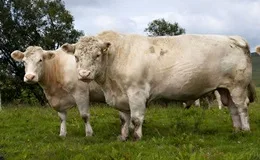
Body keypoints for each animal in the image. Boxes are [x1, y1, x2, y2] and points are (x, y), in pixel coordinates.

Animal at [62, 31, 255, 140]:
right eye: (76, 57)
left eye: (97, 55)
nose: (84, 74)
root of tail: (234, 38)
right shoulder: (121, 96)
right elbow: (124, 119)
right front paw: (123, 136)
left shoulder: (136, 92)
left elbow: (136, 118)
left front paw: (137, 137)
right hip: (226, 89)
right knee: (232, 109)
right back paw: (236, 130)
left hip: (238, 86)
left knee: (241, 108)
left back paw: (245, 130)